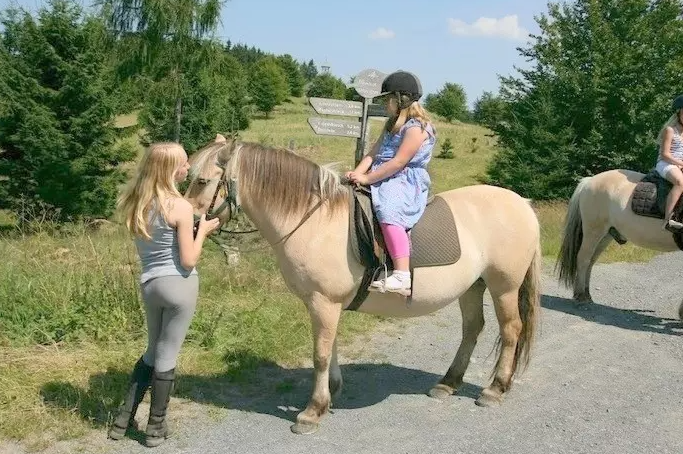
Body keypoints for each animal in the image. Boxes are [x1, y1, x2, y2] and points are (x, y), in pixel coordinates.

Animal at [183, 134, 544, 432]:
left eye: (201, 181)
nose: (187, 226)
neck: (313, 219)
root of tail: (521, 203)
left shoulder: (324, 301)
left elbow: (320, 354)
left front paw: (312, 411)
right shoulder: (324, 304)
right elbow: (330, 347)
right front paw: (332, 393)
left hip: (504, 286)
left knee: (511, 330)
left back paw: (494, 389)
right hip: (472, 286)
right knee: (472, 329)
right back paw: (448, 383)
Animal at [560, 168, 683, 314]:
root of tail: (588, 181)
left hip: (605, 236)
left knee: (591, 261)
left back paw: (587, 294)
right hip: (593, 231)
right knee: (583, 259)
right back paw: (581, 296)